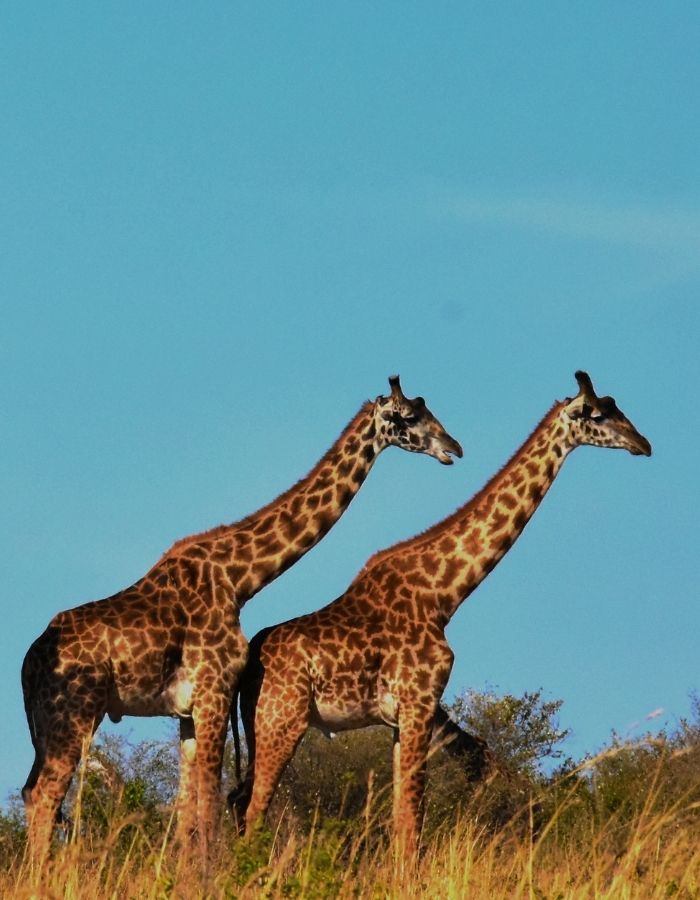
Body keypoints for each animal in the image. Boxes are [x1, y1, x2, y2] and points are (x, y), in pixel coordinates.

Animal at [20, 376, 462, 865]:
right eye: (409, 416)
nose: (453, 447)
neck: (239, 579)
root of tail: (28, 665)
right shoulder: (214, 691)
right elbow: (210, 805)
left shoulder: (188, 709)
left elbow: (189, 811)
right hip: (76, 714)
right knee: (46, 795)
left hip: (49, 725)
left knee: (31, 793)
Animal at [229, 371, 651, 854]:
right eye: (597, 414)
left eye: (618, 406)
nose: (643, 443)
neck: (444, 594)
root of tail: (249, 666)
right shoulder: (420, 701)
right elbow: (411, 820)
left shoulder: (406, 715)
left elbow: (402, 817)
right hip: (281, 720)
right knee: (254, 808)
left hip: (258, 725)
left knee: (238, 800)